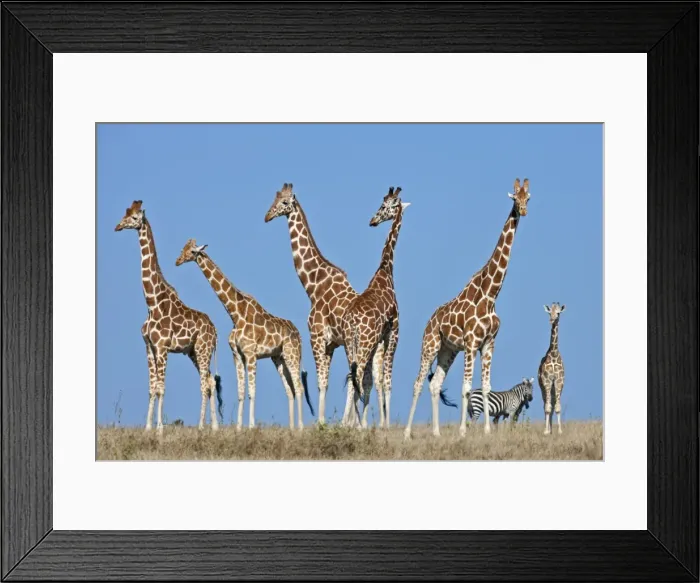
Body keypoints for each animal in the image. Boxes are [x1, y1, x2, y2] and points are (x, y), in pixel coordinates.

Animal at [115, 200, 222, 434]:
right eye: (125, 213)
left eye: (135, 217)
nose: (117, 226)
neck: (152, 302)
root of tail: (215, 330)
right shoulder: (149, 347)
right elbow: (151, 387)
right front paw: (147, 428)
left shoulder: (163, 347)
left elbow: (161, 388)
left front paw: (160, 428)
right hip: (193, 352)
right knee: (210, 381)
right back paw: (214, 427)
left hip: (203, 349)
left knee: (204, 383)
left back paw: (201, 427)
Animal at [175, 239, 315, 431]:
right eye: (183, 248)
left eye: (190, 251)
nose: (177, 261)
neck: (235, 313)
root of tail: (299, 336)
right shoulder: (237, 355)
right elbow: (241, 392)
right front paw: (239, 428)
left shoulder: (250, 354)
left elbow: (252, 391)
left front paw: (251, 426)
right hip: (278, 358)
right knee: (290, 390)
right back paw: (292, 428)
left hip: (291, 354)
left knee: (299, 387)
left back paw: (300, 427)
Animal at [340, 186, 409, 429]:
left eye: (385, 206)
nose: (372, 221)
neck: (385, 271)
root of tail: (352, 320)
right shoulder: (394, 331)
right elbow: (386, 379)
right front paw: (384, 424)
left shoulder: (379, 338)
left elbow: (376, 379)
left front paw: (377, 422)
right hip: (365, 342)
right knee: (358, 375)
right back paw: (354, 424)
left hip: (350, 343)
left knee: (353, 376)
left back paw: (351, 423)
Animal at [404, 178, 531, 439]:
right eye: (515, 197)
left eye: (529, 197)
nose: (523, 210)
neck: (490, 295)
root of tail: (430, 321)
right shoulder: (472, 343)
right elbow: (466, 387)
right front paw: (463, 430)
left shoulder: (489, 343)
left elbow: (486, 387)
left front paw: (487, 432)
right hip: (430, 344)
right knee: (418, 382)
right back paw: (407, 433)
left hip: (448, 350)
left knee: (435, 384)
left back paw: (436, 433)